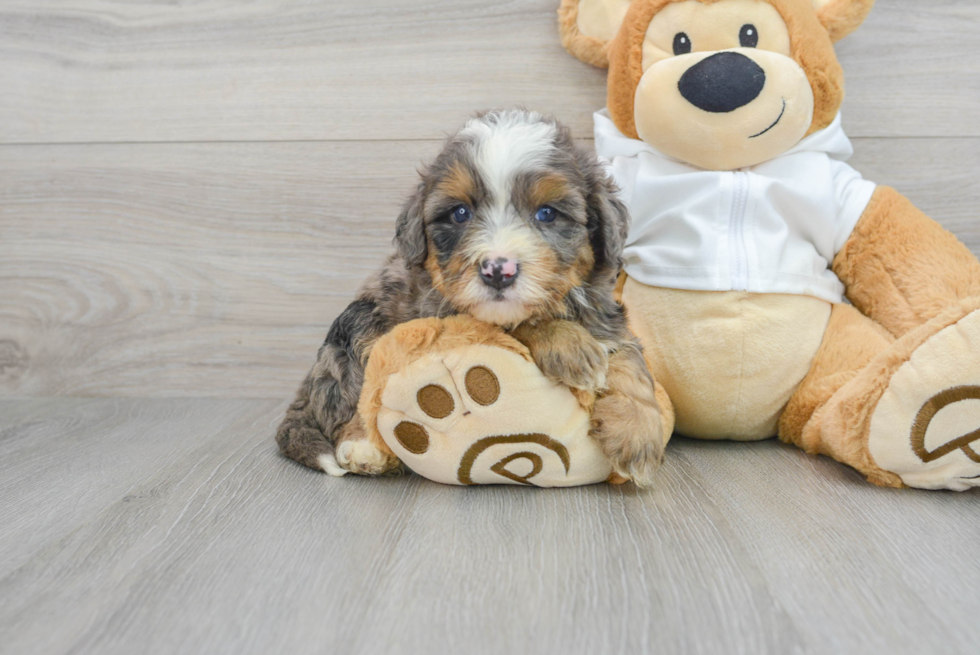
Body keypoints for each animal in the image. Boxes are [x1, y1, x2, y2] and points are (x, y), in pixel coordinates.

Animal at [276, 107, 668, 486]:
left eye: (547, 213)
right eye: (460, 213)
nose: (498, 270)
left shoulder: (608, 315)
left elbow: (631, 360)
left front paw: (637, 433)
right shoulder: (443, 310)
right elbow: (517, 325)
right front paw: (570, 346)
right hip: (357, 326)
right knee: (353, 398)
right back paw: (363, 447)